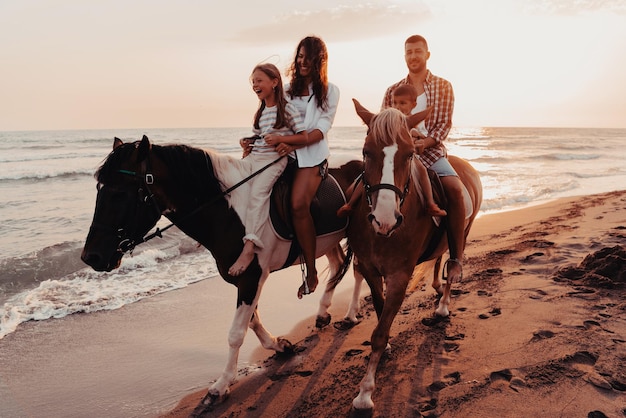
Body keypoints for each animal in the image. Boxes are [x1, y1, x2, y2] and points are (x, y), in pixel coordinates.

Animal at [81, 136, 360, 408]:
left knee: (358, 272)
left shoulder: (252, 277)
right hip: (329, 240)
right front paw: (279, 346)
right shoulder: (244, 281)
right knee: (338, 266)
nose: (90, 256)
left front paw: (220, 386)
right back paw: (323, 313)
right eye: (99, 190)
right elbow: (252, 320)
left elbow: (236, 333)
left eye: (120, 193)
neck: (228, 212)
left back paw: (350, 315)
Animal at [346, 100, 482, 412]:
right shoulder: (370, 269)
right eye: (366, 151)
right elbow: (380, 311)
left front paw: (365, 393)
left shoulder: (400, 275)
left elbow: (379, 333)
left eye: (409, 154)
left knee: (453, 263)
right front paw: (386, 347)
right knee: (440, 256)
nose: (384, 219)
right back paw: (436, 286)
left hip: (465, 228)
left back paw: (443, 305)